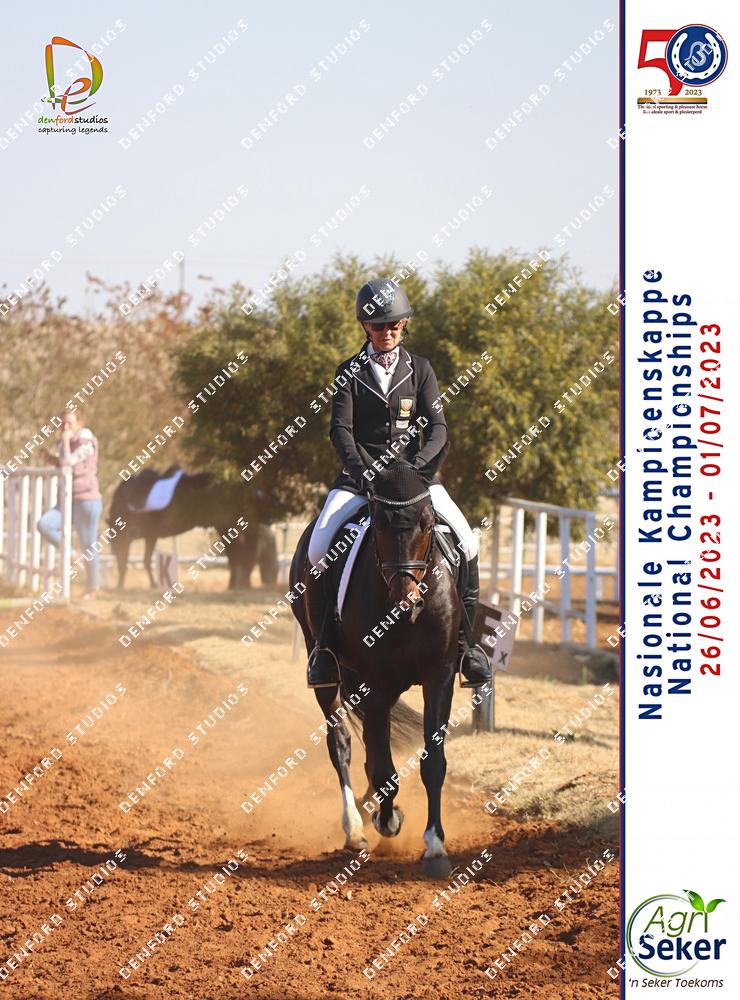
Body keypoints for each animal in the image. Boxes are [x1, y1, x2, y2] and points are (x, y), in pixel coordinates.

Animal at [108, 466, 275, 590]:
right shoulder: (147, 536)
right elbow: (141, 560)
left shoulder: (146, 536)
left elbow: (140, 560)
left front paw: (147, 584)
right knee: (240, 554)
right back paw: (236, 585)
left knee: (244, 553)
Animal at [290, 461, 461, 876]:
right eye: (380, 525)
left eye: (428, 523)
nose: (406, 601)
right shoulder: (377, 683)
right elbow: (383, 767)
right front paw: (388, 819)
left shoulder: (439, 677)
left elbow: (433, 762)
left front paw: (435, 846)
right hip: (329, 671)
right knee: (342, 743)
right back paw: (354, 827)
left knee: (369, 742)